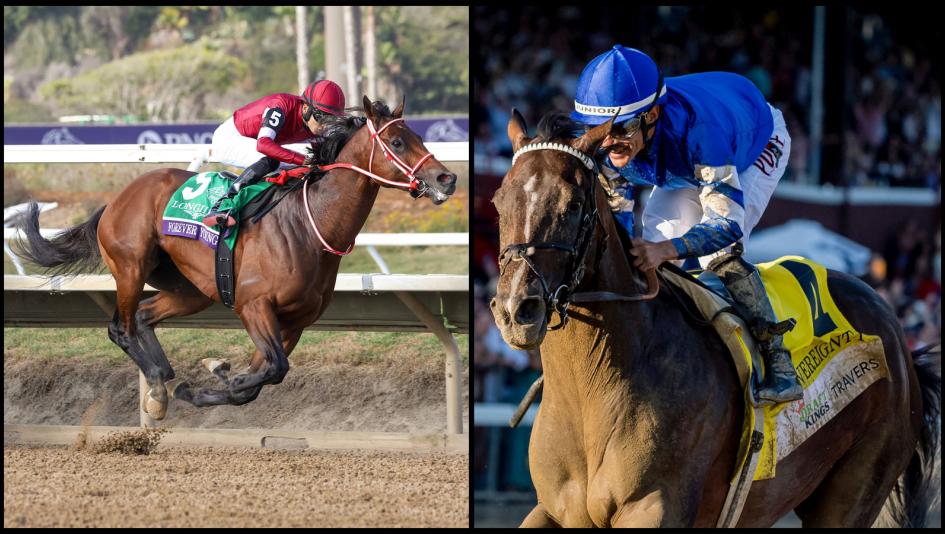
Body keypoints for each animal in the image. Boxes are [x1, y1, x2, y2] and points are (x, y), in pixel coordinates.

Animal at [14, 96, 458, 421]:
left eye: (419, 136)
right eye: (397, 142)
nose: (446, 178)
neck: (309, 225)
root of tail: (115, 199)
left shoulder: (294, 322)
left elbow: (265, 375)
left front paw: (213, 380)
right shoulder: (254, 305)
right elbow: (273, 369)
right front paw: (219, 375)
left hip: (192, 290)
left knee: (143, 317)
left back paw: (163, 383)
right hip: (130, 266)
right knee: (120, 327)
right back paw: (157, 380)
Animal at [488, 110, 940, 527]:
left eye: (573, 205)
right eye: (498, 202)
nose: (516, 309)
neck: (595, 389)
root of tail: (898, 338)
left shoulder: (655, 506)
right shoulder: (554, 509)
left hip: (855, 485)